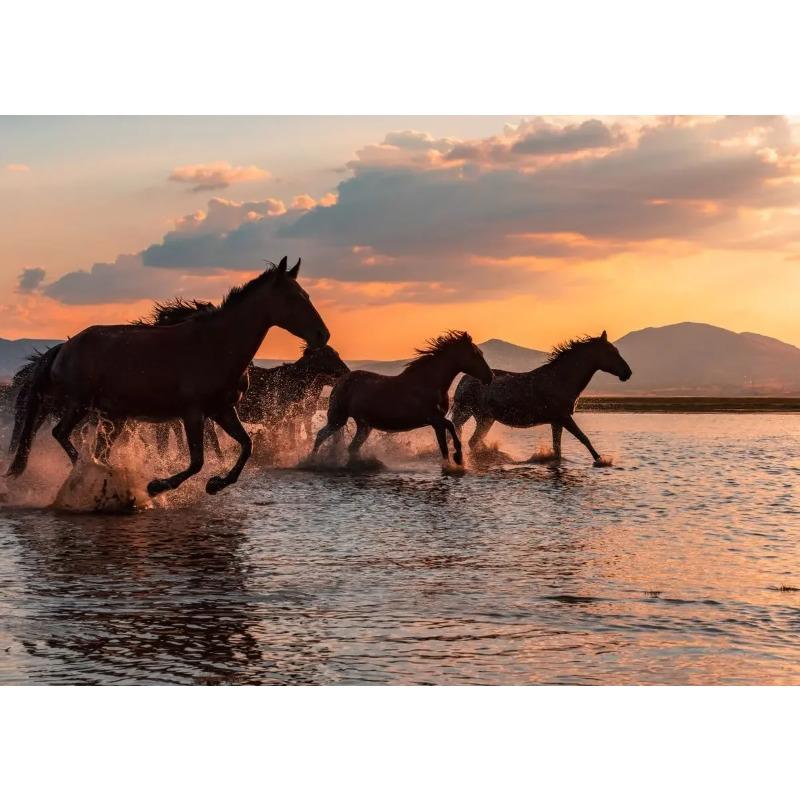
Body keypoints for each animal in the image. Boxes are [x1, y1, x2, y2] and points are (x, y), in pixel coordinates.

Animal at [7, 257, 329, 496]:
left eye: (307, 295)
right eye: (293, 298)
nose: (322, 335)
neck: (216, 345)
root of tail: (63, 347)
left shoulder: (223, 410)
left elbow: (246, 446)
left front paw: (216, 484)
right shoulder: (193, 413)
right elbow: (197, 461)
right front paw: (158, 486)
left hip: (113, 415)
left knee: (95, 446)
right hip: (80, 404)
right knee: (61, 434)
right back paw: (93, 472)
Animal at [312, 331, 492, 466]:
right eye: (475, 354)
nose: (490, 376)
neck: (429, 382)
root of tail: (340, 381)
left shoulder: (436, 422)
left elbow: (445, 444)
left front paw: (455, 461)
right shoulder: (433, 419)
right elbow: (450, 429)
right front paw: (458, 458)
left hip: (364, 425)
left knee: (352, 448)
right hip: (338, 418)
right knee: (321, 435)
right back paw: (311, 461)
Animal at [450, 331, 632, 464]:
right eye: (611, 352)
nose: (627, 373)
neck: (561, 379)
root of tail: (465, 379)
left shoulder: (556, 421)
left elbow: (557, 449)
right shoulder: (564, 418)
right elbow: (584, 438)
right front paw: (601, 460)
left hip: (481, 417)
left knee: (472, 440)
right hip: (475, 415)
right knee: (469, 440)